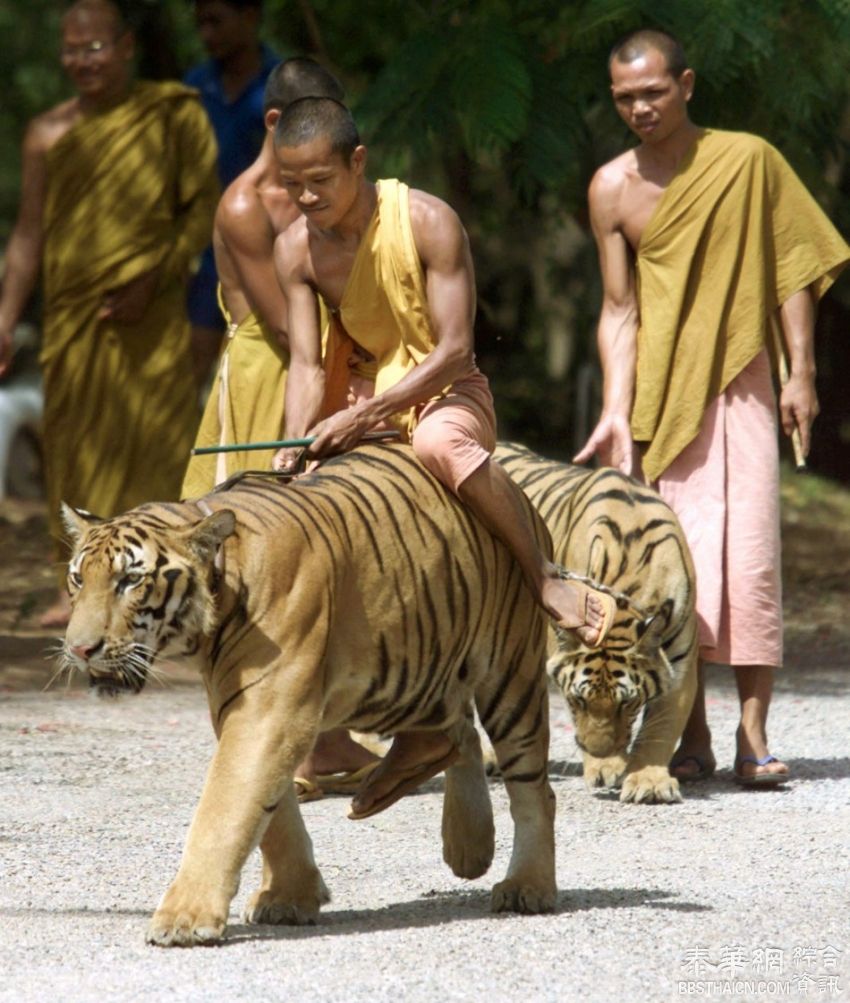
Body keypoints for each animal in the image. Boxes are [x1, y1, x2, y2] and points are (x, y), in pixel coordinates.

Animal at [63, 445, 561, 946]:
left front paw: (183, 918)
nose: (80, 649)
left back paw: (528, 886)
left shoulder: (268, 712)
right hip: (418, 659)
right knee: (458, 730)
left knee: (534, 791)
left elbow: (224, 810)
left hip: (510, 676)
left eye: (130, 581)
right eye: (78, 580)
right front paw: (290, 896)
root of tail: (521, 498)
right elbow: (273, 814)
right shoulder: (246, 709)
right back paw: (465, 845)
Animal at [495, 443, 702, 802]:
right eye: (578, 700)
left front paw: (647, 781)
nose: (601, 753)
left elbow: (662, 727)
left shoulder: (679, 664)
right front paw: (606, 767)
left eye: (627, 702)